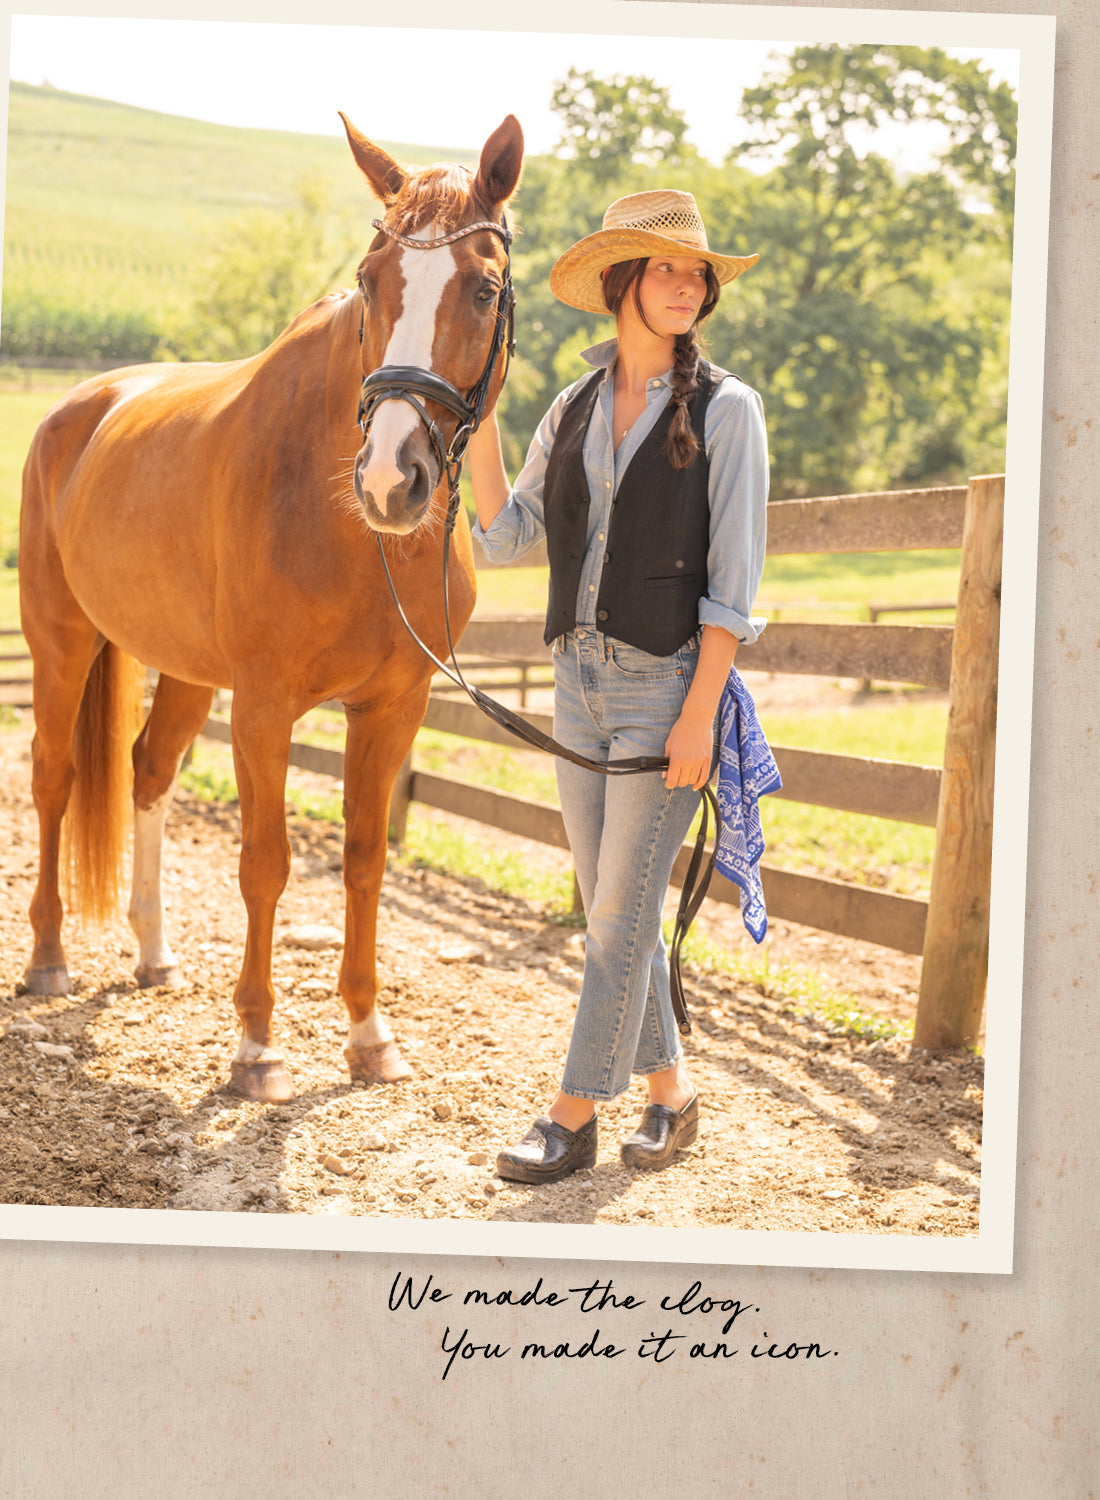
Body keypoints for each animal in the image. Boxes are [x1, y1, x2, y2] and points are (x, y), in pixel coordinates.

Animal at [19, 111, 525, 1104]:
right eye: (369, 282)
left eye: (484, 288)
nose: (391, 480)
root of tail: (80, 406)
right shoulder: (263, 708)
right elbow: (266, 863)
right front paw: (256, 1046)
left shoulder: (393, 706)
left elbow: (363, 859)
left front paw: (369, 1034)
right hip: (62, 643)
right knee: (54, 779)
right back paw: (49, 959)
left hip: (181, 668)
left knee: (148, 770)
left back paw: (154, 954)